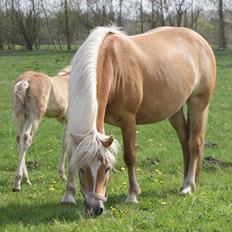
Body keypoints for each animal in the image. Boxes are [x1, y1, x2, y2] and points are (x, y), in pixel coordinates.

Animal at [61, 25, 216, 216]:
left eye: (107, 168)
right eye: (82, 169)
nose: (94, 208)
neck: (113, 65)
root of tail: (200, 40)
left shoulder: (128, 120)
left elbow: (130, 156)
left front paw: (133, 195)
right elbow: (71, 155)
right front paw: (68, 196)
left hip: (198, 103)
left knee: (195, 143)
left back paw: (188, 186)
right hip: (175, 110)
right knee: (184, 141)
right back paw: (184, 182)